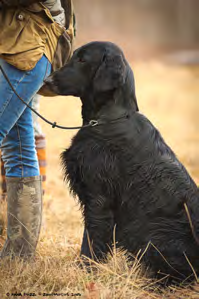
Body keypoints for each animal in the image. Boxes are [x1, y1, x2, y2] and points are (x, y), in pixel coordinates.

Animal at [44, 42, 199, 284]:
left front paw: (84, 272)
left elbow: (91, 242)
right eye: (73, 56)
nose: (47, 81)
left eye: (82, 59)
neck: (108, 118)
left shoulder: (99, 198)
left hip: (154, 233)